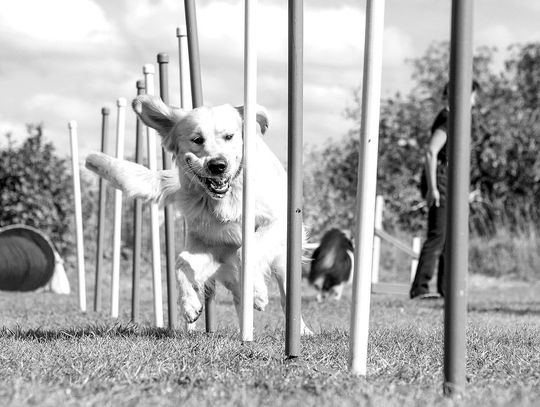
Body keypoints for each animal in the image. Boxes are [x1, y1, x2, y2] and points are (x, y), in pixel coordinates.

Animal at [85, 95, 312, 334]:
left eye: (229, 136)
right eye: (197, 139)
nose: (218, 165)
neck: (226, 200)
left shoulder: (278, 223)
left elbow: (247, 251)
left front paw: (257, 291)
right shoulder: (213, 246)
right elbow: (181, 262)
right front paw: (189, 305)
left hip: (284, 260)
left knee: (286, 297)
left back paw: (302, 331)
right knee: (237, 296)